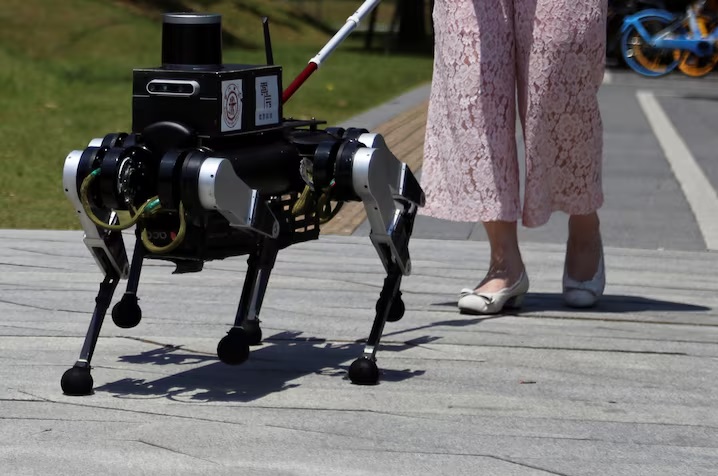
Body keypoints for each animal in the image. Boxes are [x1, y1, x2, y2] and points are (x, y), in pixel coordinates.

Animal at [60, 7, 428, 396]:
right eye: (130, 172)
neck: (168, 151)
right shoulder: (92, 168)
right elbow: (112, 268)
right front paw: (81, 368)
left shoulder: (230, 183)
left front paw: (366, 361)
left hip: (358, 160)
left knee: (395, 216)